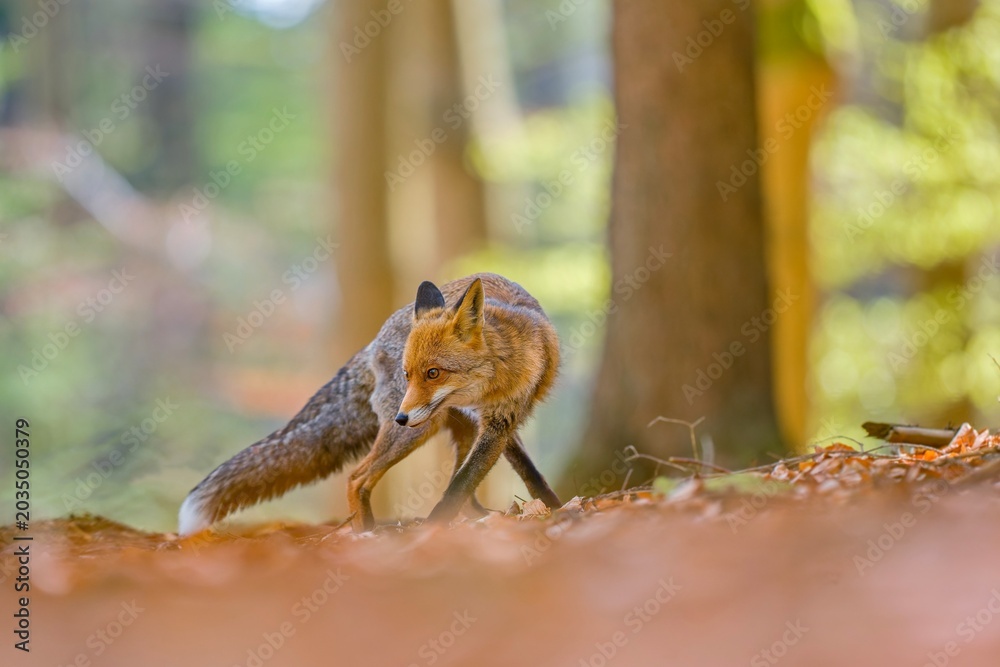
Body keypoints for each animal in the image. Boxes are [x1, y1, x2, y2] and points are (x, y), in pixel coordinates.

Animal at [178, 273, 562, 534]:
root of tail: (375, 339)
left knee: (459, 487)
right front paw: (432, 529)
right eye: (409, 374)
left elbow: (496, 477)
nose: (401, 416)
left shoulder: (500, 423)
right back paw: (364, 534)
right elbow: (462, 484)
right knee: (355, 478)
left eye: (434, 373)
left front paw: (555, 509)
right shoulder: (488, 424)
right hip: (418, 430)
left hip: (442, 427)